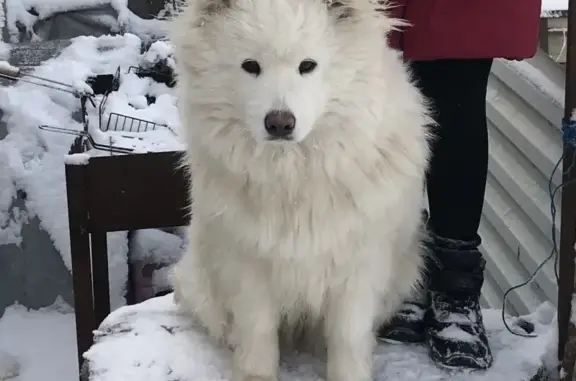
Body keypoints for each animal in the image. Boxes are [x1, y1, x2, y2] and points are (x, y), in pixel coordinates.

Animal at [169, 0, 430, 380]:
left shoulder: (359, 267)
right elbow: (257, 330)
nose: (279, 123)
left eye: (307, 65)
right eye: (251, 66)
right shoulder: (248, 263)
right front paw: (255, 374)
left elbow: (348, 336)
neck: (293, 175)